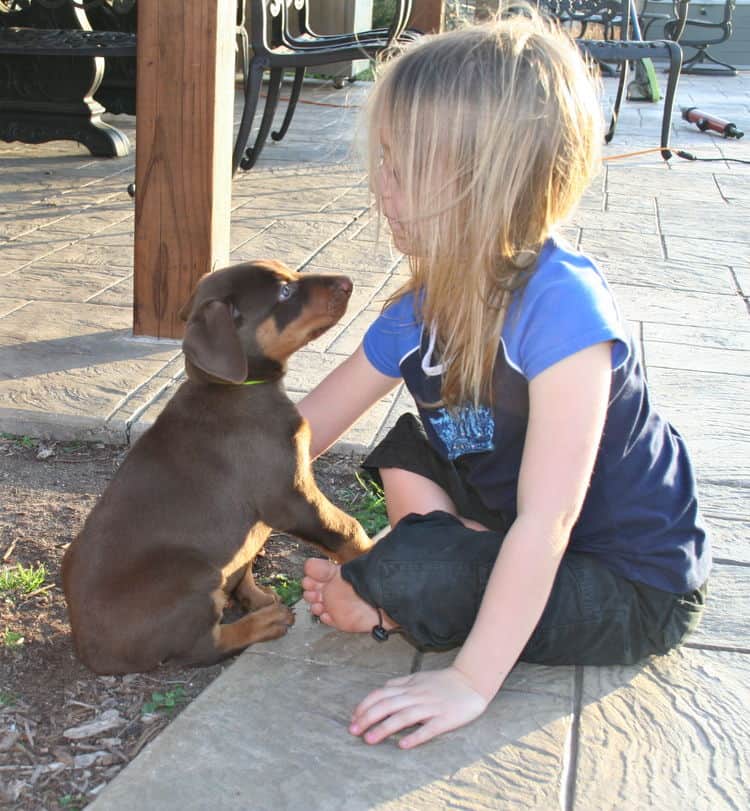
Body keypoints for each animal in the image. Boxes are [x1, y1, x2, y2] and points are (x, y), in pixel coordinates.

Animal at [63, 260, 374, 672]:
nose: (348, 283)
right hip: (194, 573)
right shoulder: (290, 497)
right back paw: (263, 623)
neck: (235, 387)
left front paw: (257, 596)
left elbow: (246, 565)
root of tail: (87, 650)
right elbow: (347, 529)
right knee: (201, 649)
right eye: (284, 292)